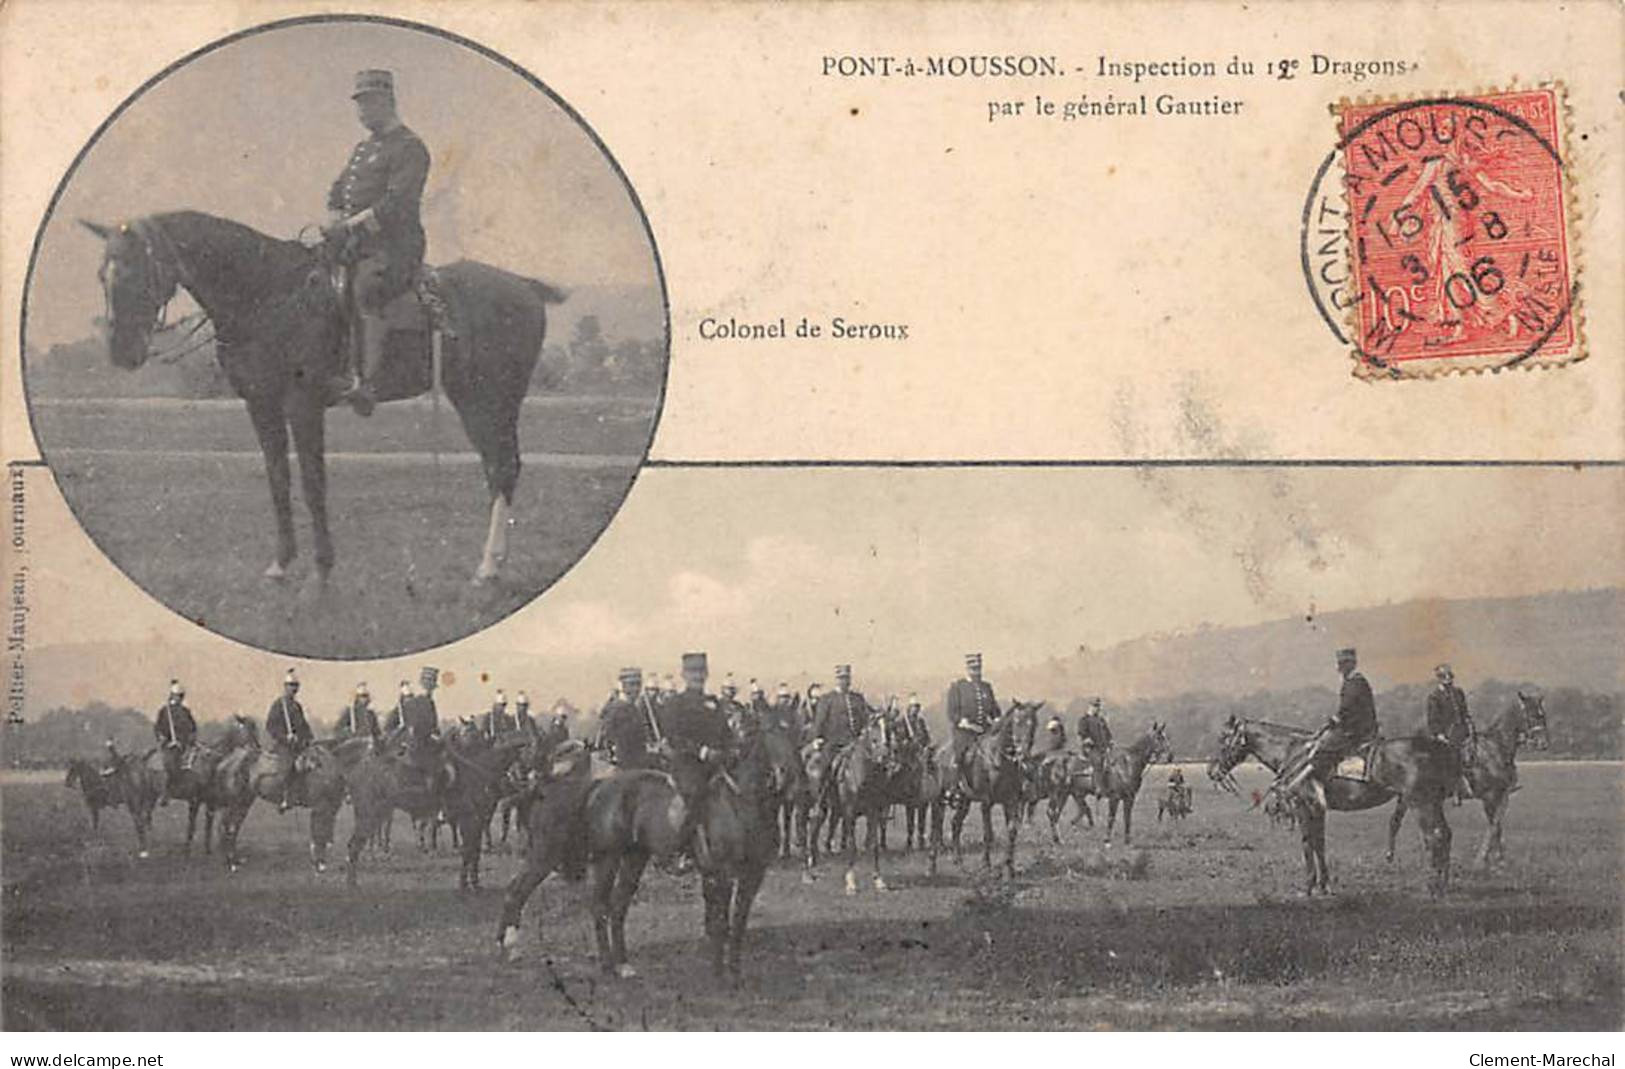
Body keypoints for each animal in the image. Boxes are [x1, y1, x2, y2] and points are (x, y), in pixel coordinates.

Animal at [1209, 711, 1462, 896]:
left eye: (1223, 739)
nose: (1212, 771)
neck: (1292, 753)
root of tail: (1434, 747)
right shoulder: (1317, 809)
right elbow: (1319, 844)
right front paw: (1324, 884)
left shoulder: (1303, 806)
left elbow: (1308, 843)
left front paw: (1309, 885)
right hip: (1433, 802)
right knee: (1446, 834)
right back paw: (1444, 883)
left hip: (1421, 803)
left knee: (1433, 837)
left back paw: (1432, 885)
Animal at [1384, 685, 1547, 870]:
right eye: (1532, 716)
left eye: (1542, 715)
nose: (1543, 744)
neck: (1495, 749)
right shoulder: (1490, 797)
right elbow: (1494, 827)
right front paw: (1487, 860)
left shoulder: (1502, 796)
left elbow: (1497, 826)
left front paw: (1498, 861)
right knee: (1401, 823)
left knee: (1400, 822)